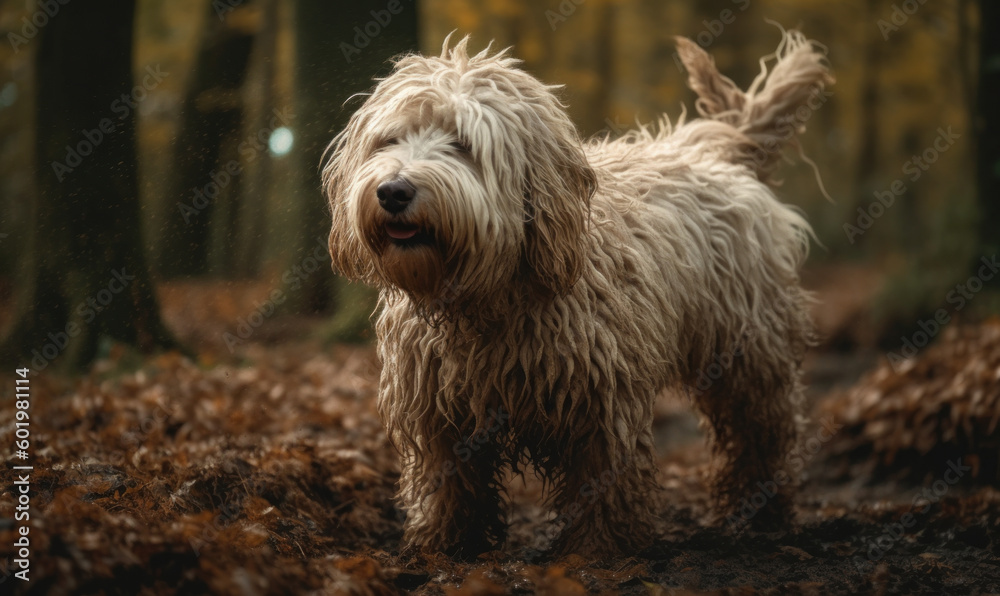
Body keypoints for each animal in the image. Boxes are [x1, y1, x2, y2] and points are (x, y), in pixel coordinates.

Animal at [324, 30, 832, 556]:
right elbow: (448, 483)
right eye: (390, 140)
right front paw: (443, 544)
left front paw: (598, 549)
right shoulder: (439, 412)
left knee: (762, 433)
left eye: (462, 143)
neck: (487, 298)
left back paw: (762, 509)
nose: (393, 191)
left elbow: (602, 481)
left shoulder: (603, 403)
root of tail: (723, 152)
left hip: (750, 355)